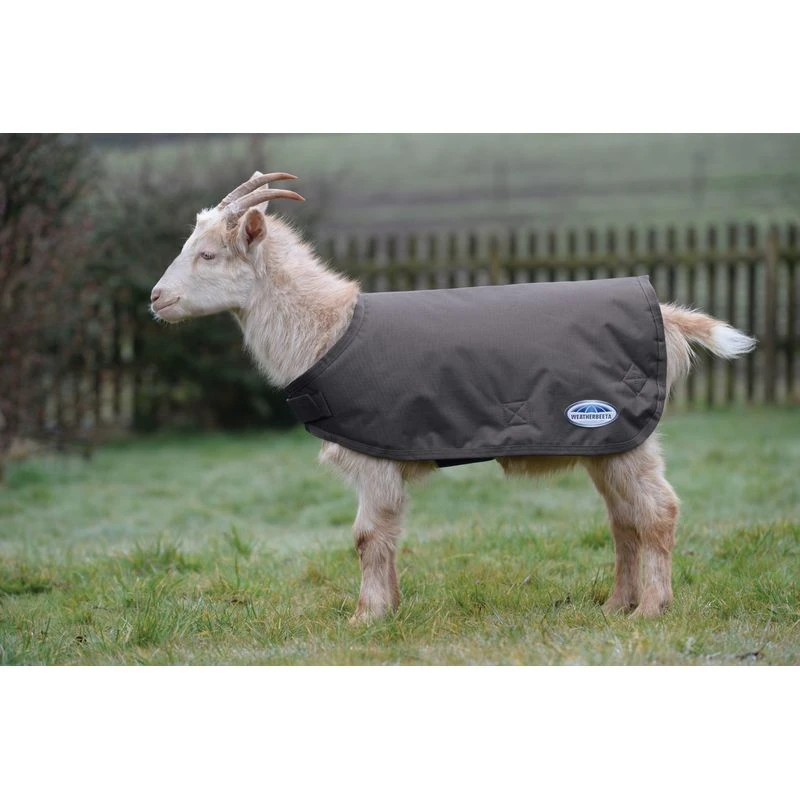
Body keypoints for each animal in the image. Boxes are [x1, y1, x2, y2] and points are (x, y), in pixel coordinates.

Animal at [151, 171, 756, 620]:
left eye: (208, 255)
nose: (156, 298)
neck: (328, 330)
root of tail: (666, 314)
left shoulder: (373, 457)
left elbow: (367, 536)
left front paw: (364, 617)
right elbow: (388, 534)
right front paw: (390, 608)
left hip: (625, 434)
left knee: (657, 511)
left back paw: (650, 610)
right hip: (608, 443)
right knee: (623, 520)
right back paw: (613, 606)